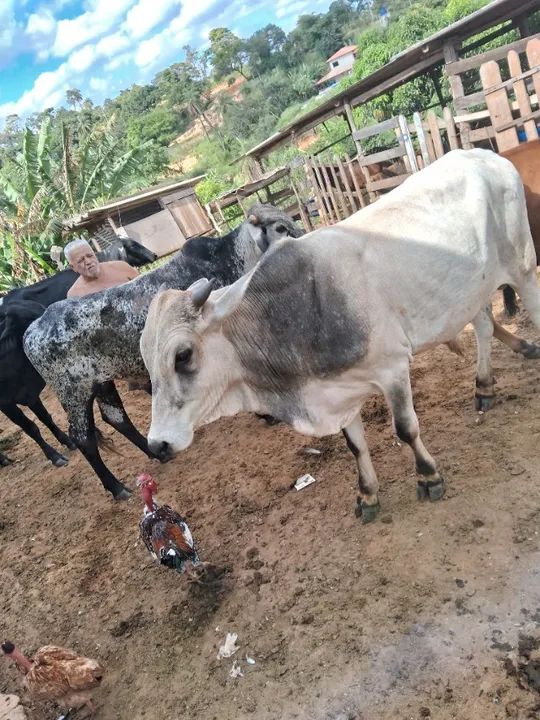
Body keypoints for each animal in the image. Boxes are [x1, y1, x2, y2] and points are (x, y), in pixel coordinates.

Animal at [23, 205, 304, 500]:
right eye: (280, 228)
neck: (229, 259)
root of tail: (32, 331)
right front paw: (267, 413)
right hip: (74, 393)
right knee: (83, 437)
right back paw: (117, 488)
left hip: (102, 383)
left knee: (116, 418)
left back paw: (156, 454)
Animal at [140, 149, 540, 524]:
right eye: (148, 365)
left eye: (182, 355)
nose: (157, 443)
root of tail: (484, 155)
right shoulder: (338, 391)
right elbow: (355, 446)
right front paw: (367, 495)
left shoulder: (393, 369)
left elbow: (406, 429)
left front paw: (428, 477)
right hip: (470, 291)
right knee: (484, 326)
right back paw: (484, 387)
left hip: (521, 265)